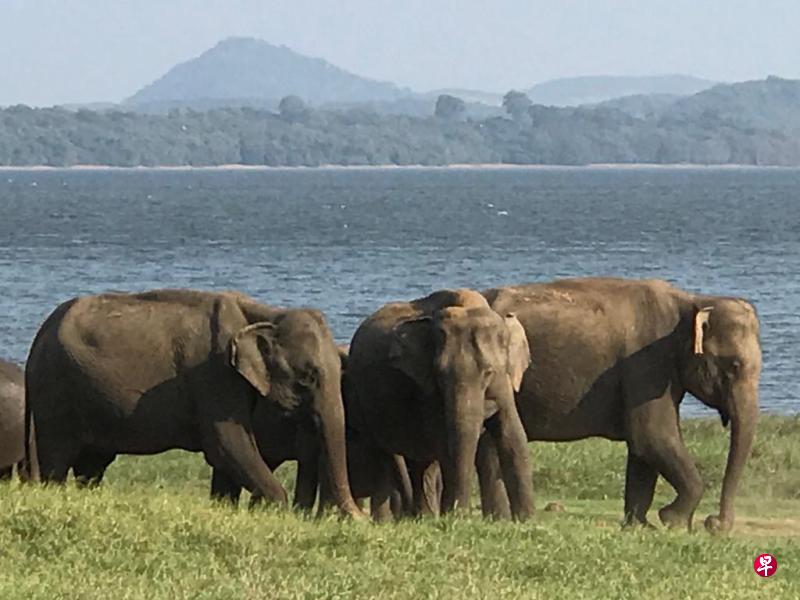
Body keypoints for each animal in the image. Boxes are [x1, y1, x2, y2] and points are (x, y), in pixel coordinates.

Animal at [24, 288, 362, 516]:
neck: (264, 313)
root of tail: (38, 335)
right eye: (308, 377)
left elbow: (230, 455)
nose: (353, 517)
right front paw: (274, 509)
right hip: (56, 392)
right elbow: (228, 442)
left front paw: (226, 508)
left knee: (92, 464)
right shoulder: (214, 375)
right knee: (57, 459)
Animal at [346, 288, 536, 516]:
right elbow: (444, 442)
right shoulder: (427, 390)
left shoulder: (504, 382)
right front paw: (454, 516)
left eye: (489, 372)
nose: (459, 512)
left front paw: (527, 519)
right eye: (440, 374)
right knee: (389, 456)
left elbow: (513, 436)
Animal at [476, 278, 764, 532]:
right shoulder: (647, 363)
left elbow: (642, 450)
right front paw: (672, 521)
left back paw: (496, 518)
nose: (714, 524)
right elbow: (653, 436)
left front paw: (640, 526)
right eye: (734, 365)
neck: (693, 301)